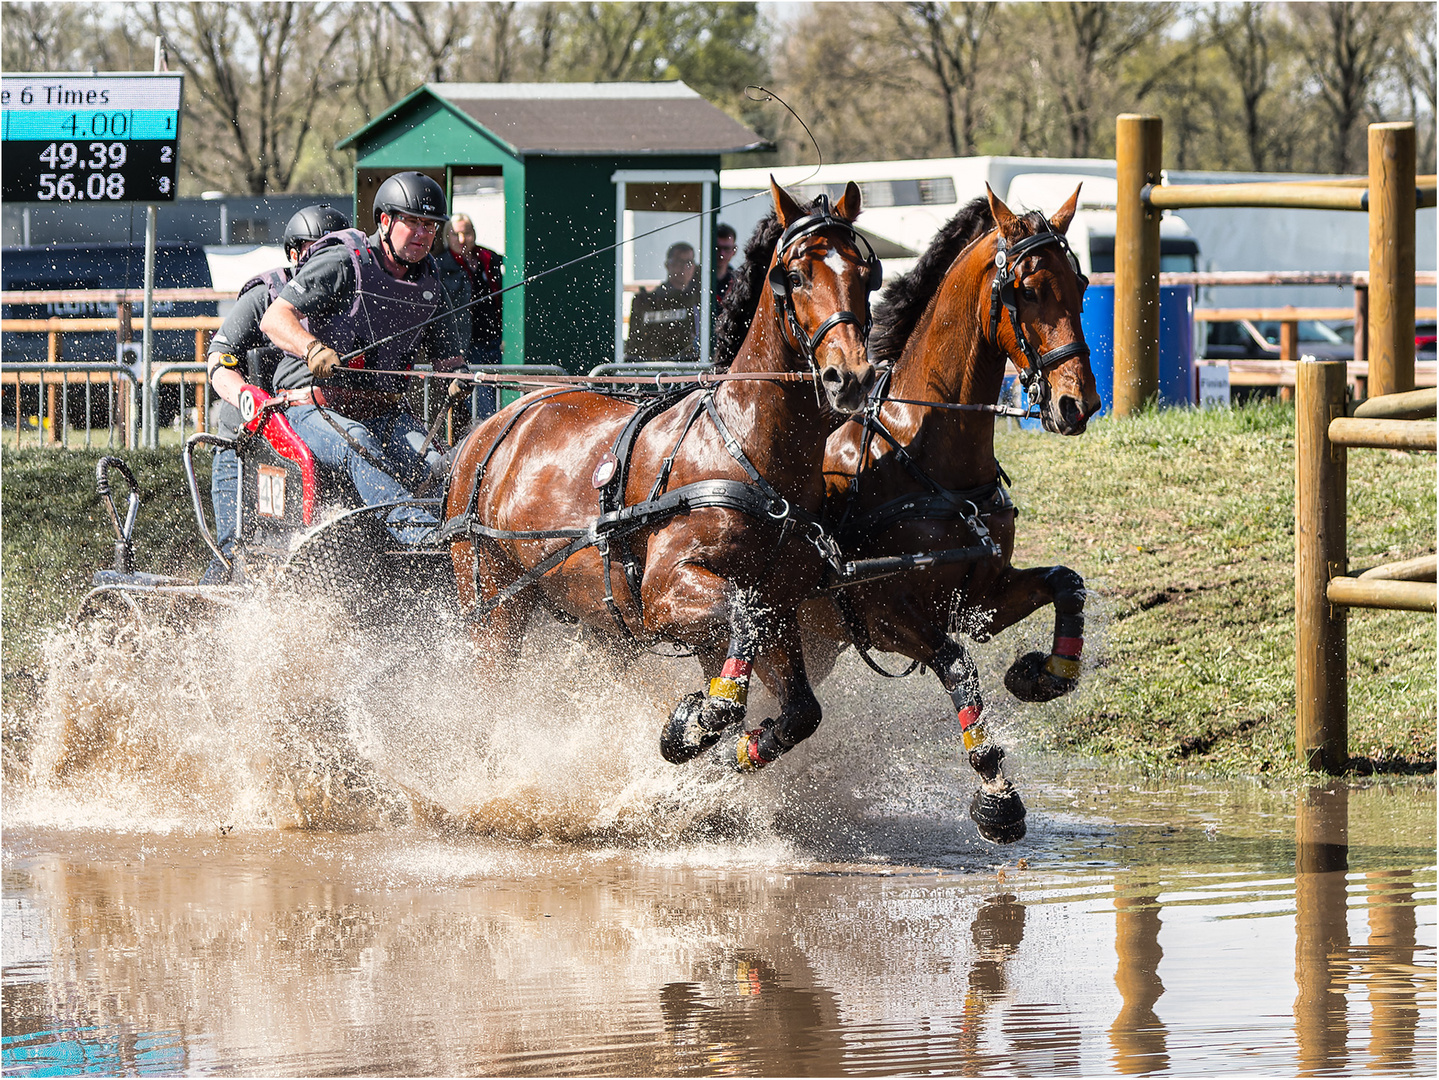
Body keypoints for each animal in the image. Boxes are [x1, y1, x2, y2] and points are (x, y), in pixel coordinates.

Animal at [443, 181, 880, 776]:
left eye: (865, 271)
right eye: (794, 276)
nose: (850, 376)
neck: (741, 447)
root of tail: (490, 425)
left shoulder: (776, 607)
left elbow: (800, 710)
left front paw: (735, 743)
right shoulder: (664, 594)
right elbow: (738, 629)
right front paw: (692, 724)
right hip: (494, 601)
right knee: (485, 688)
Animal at [800, 184, 1099, 845]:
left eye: (1082, 283)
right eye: (1027, 290)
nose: (1080, 403)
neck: (921, 448)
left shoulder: (983, 594)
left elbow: (1066, 582)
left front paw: (1045, 673)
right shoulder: (885, 614)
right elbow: (958, 665)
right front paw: (996, 795)